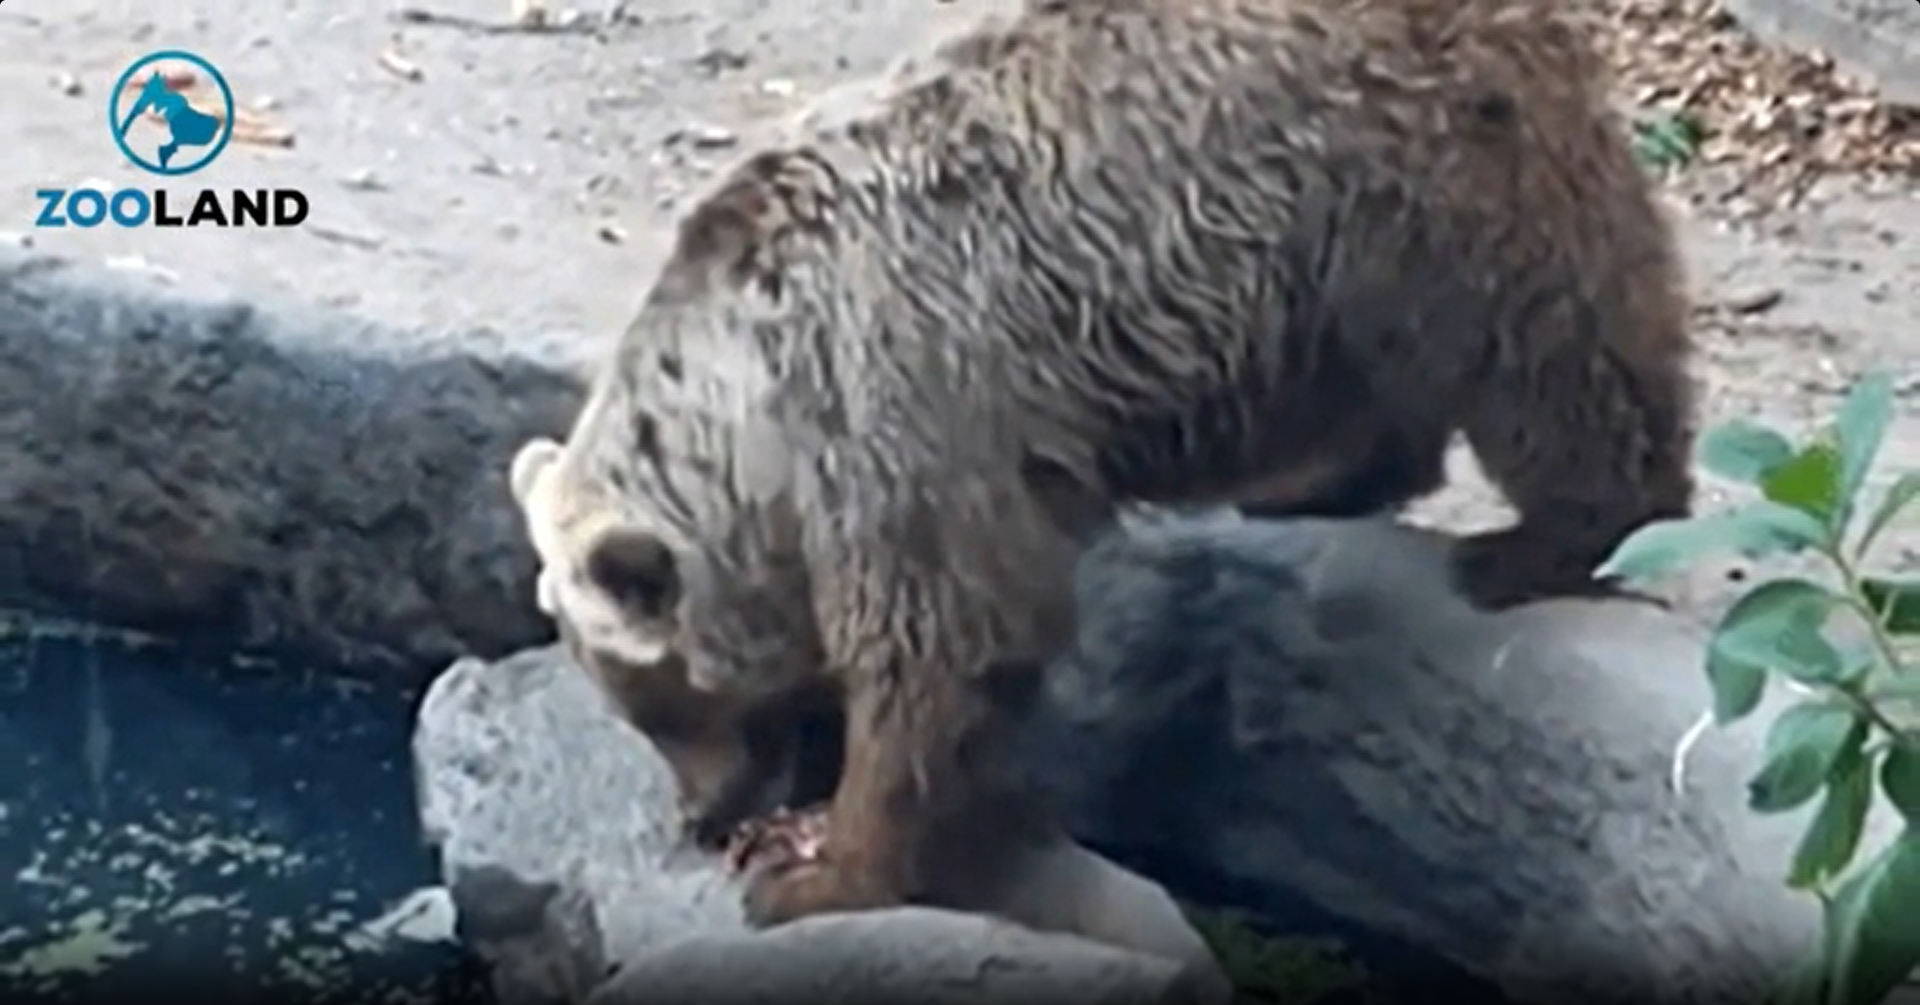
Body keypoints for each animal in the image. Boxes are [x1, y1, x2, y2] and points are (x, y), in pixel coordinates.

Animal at [508, 0, 1694, 930]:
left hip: (1422, 172)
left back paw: (1544, 539)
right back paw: (1306, 483)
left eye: (663, 702)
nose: (703, 815)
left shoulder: (898, 397)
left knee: (1547, 343)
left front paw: (823, 866)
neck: (753, 408)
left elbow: (944, 641)